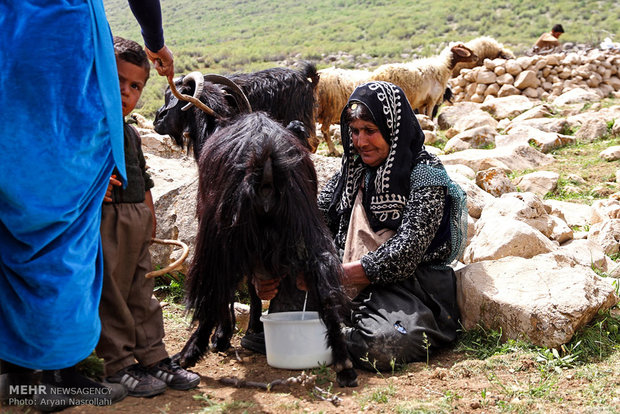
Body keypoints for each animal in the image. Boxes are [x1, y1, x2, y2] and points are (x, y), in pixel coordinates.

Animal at [177, 111, 356, 386]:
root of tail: (266, 160)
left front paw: (223, 336)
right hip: (303, 218)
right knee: (325, 282)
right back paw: (344, 363)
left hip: (218, 233)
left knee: (213, 288)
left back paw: (189, 353)